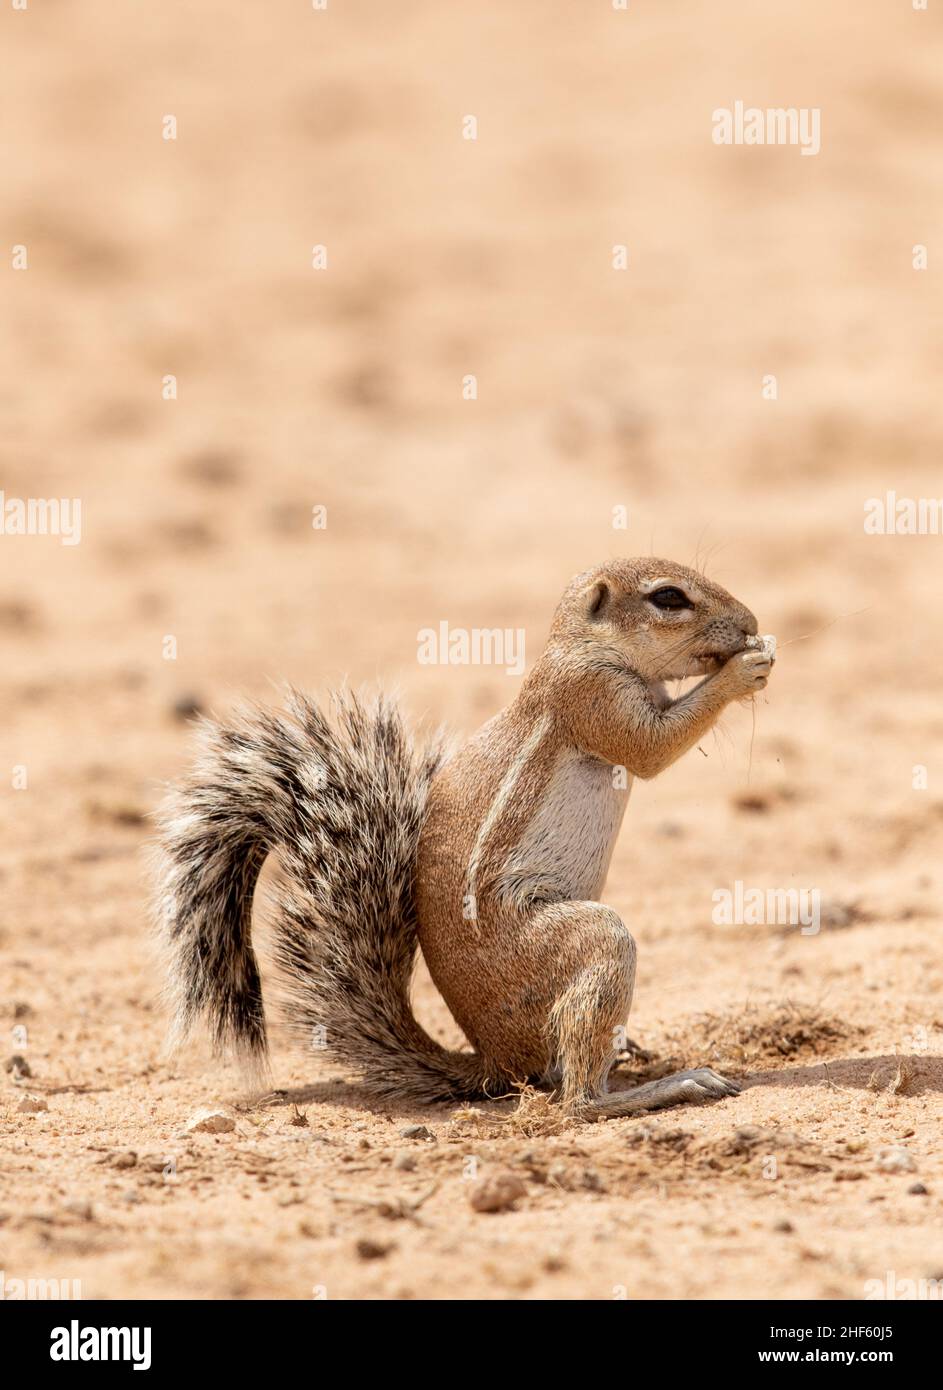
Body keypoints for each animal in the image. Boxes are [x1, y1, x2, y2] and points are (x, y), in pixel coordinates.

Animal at [157, 553, 773, 1117]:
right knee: (577, 1101)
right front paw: (745, 669)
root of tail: (493, 1059)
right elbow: (650, 746)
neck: (581, 647)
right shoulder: (594, 695)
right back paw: (669, 1086)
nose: (750, 620)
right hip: (591, 940)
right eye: (668, 597)